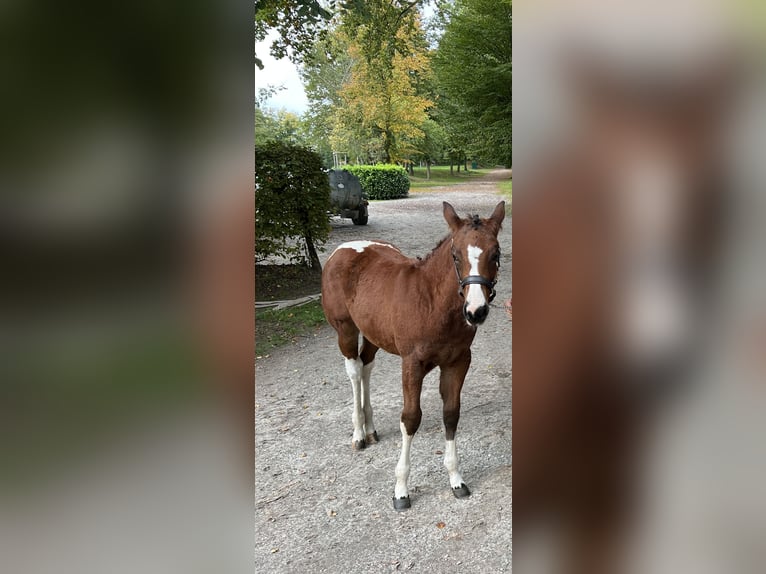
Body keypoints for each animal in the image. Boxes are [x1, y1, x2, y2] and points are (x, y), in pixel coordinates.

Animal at [320, 202, 508, 512]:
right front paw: (401, 490)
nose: (476, 311)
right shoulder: (412, 364)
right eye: (455, 256)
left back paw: (370, 428)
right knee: (355, 371)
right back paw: (359, 433)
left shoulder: (458, 361)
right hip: (345, 329)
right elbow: (410, 418)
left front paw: (456, 479)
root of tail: (345, 248)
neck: (432, 304)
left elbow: (451, 413)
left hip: (374, 332)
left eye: (496, 254)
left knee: (366, 365)